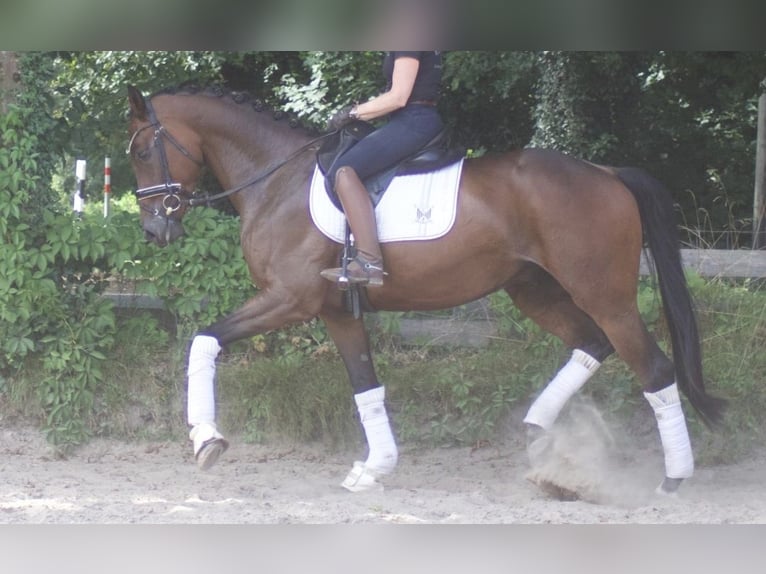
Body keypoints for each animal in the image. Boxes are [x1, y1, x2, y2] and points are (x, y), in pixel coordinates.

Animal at [125, 84, 725, 496]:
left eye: (139, 152)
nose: (154, 231)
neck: (277, 182)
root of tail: (607, 172)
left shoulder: (288, 300)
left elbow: (203, 340)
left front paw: (206, 440)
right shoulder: (337, 311)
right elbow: (365, 385)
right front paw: (374, 469)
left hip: (606, 296)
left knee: (654, 369)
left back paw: (673, 479)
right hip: (534, 290)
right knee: (591, 343)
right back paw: (538, 434)